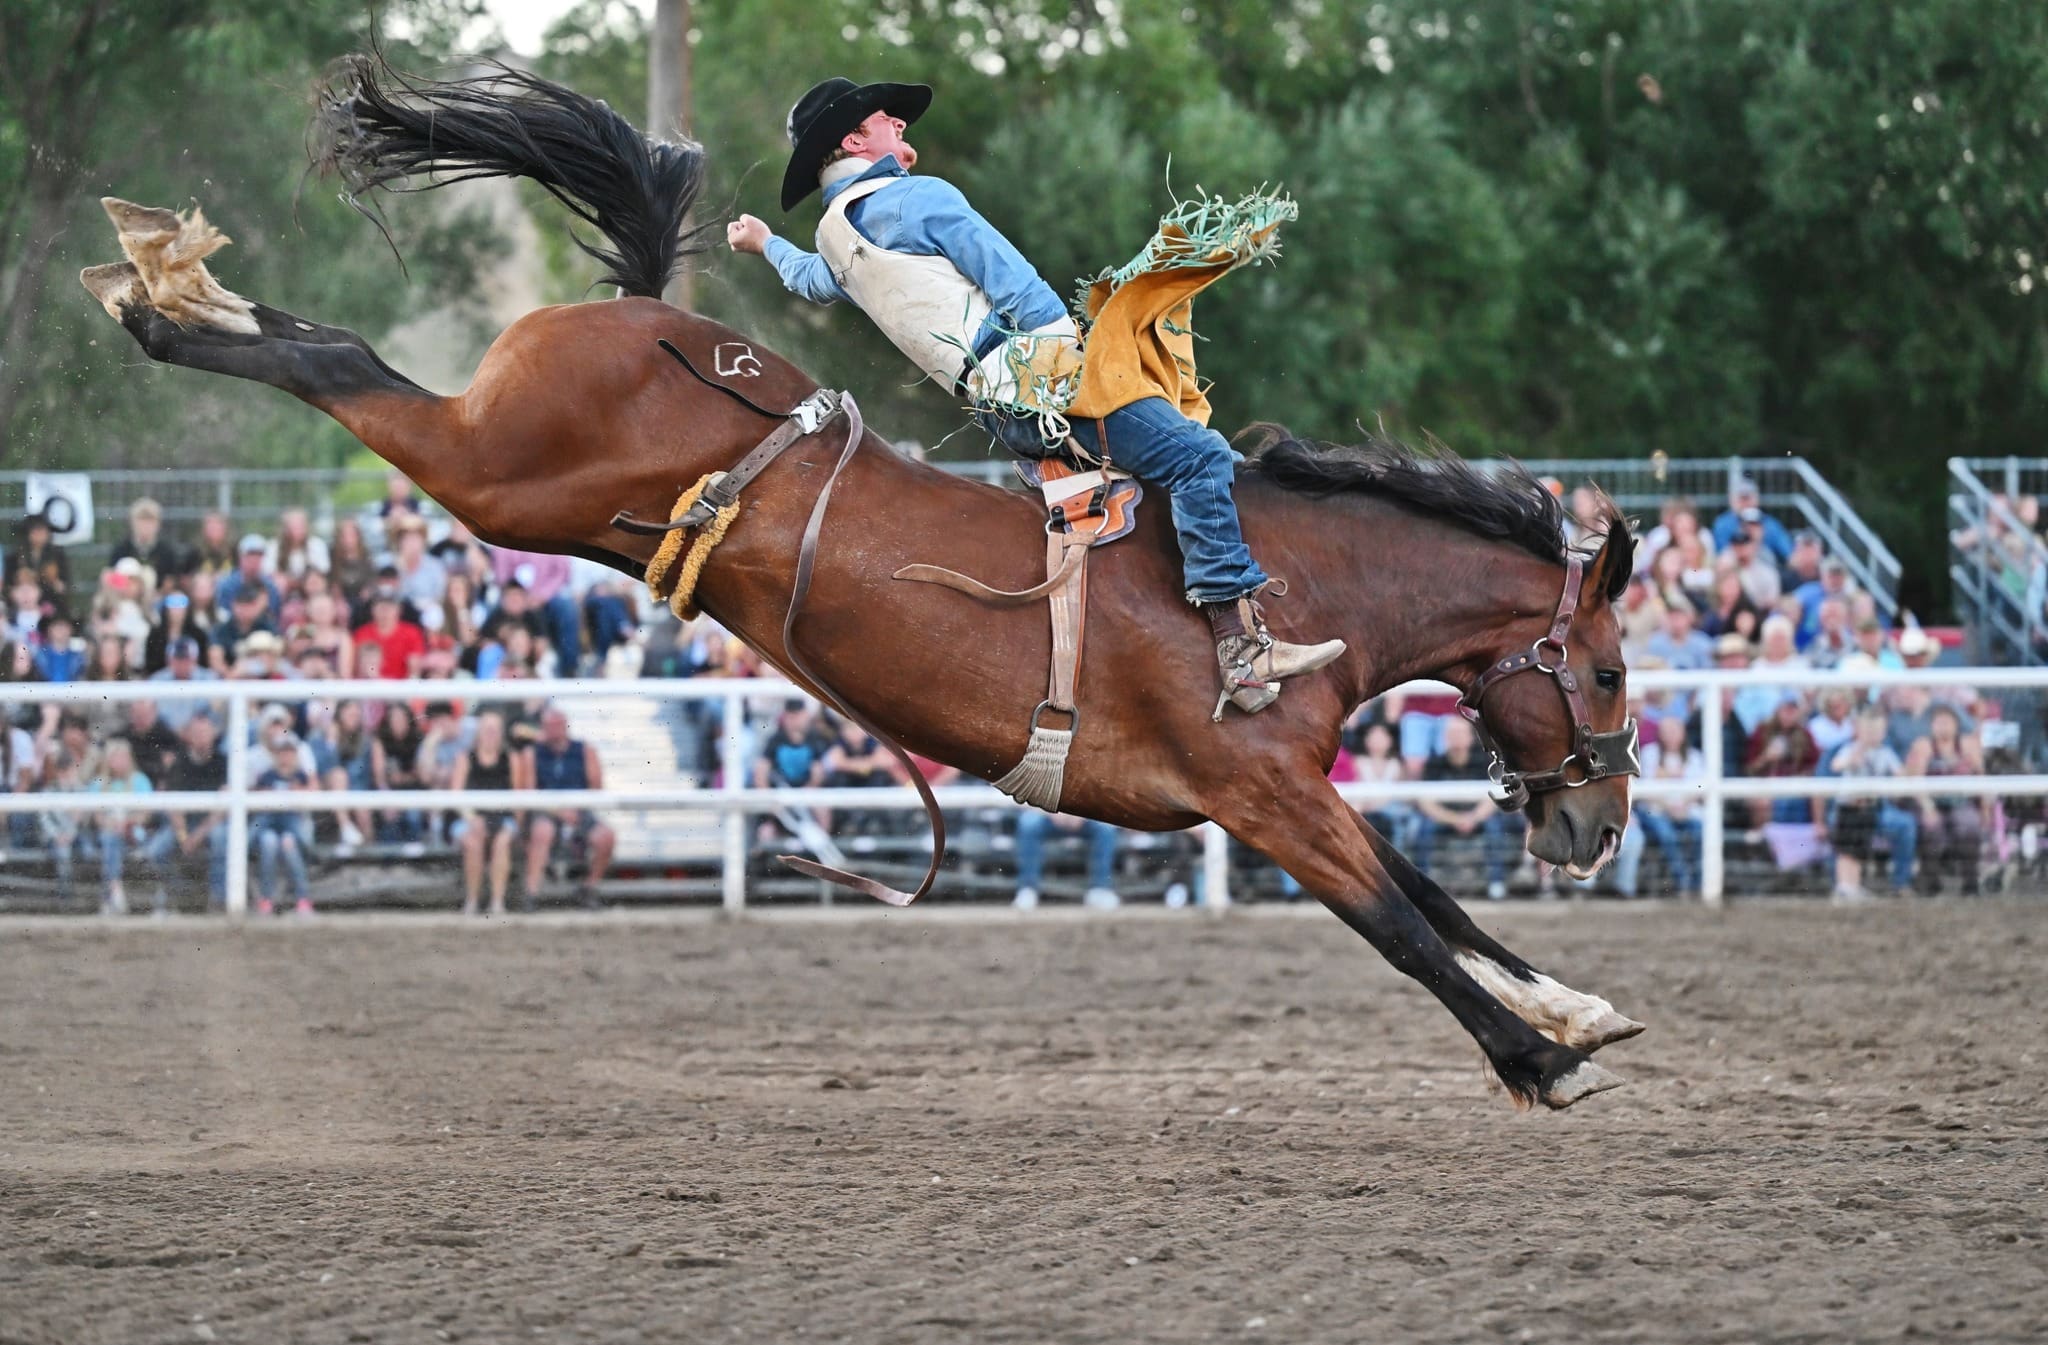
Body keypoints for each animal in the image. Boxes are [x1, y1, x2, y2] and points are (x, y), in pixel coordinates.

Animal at [83, 55, 1646, 1113]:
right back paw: (164, 305)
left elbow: (1432, 898)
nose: (1595, 823)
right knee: (346, 366)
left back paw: (170, 286)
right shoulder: (1257, 794)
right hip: (488, 468)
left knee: (338, 353)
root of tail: (640, 314)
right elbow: (1403, 925)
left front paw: (1578, 1009)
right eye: (1611, 667)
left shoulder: (1281, 798)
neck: (1293, 583)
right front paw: (1536, 1057)